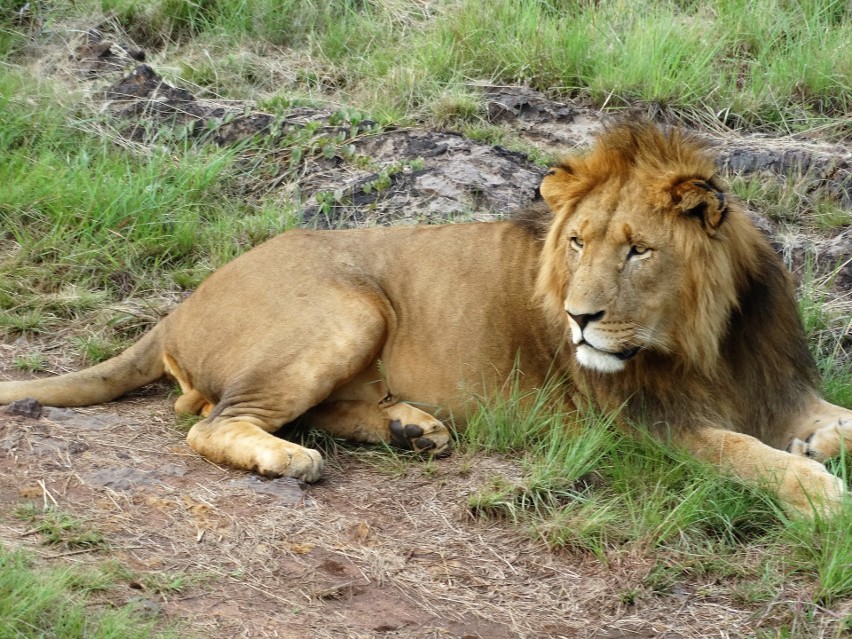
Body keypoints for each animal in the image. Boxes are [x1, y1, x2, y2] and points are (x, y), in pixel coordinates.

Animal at [0, 122, 848, 516]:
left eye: (638, 249)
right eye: (577, 242)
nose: (579, 318)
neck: (709, 341)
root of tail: (180, 304)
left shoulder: (778, 385)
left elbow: (831, 418)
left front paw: (818, 444)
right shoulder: (643, 424)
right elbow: (740, 450)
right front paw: (818, 491)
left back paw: (412, 428)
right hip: (348, 306)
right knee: (214, 422)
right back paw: (293, 459)